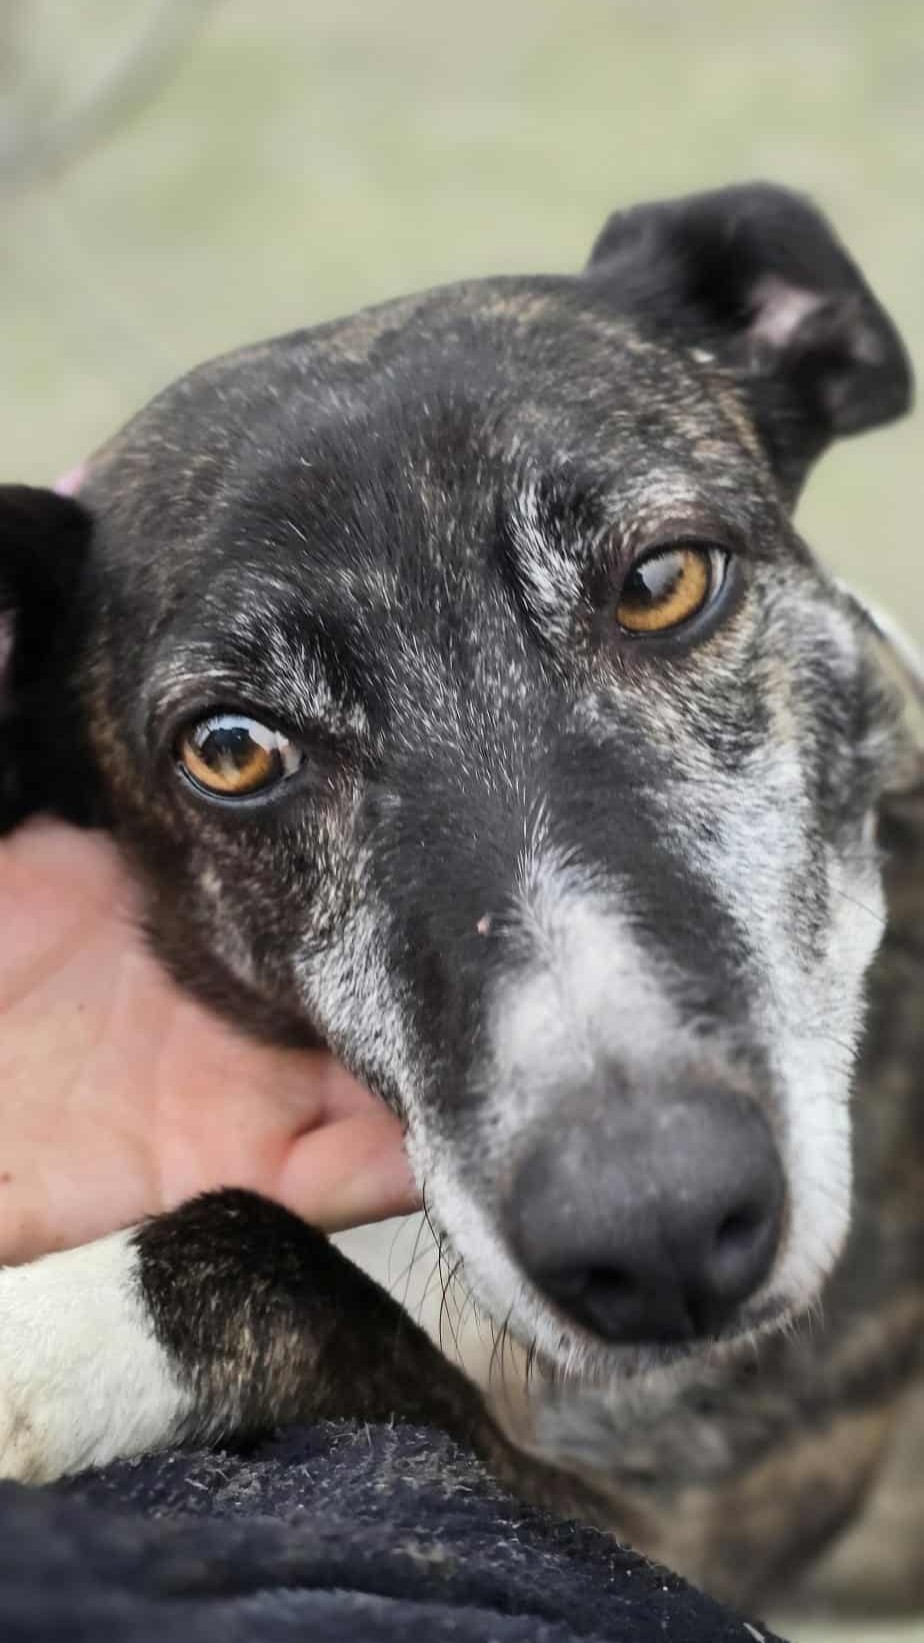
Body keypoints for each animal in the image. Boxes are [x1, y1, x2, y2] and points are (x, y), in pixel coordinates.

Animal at [0, 182, 921, 1612]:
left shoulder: (675, 1533)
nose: (658, 1230)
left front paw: (33, 1331)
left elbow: (296, 1269)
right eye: (232, 748)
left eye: (662, 580)